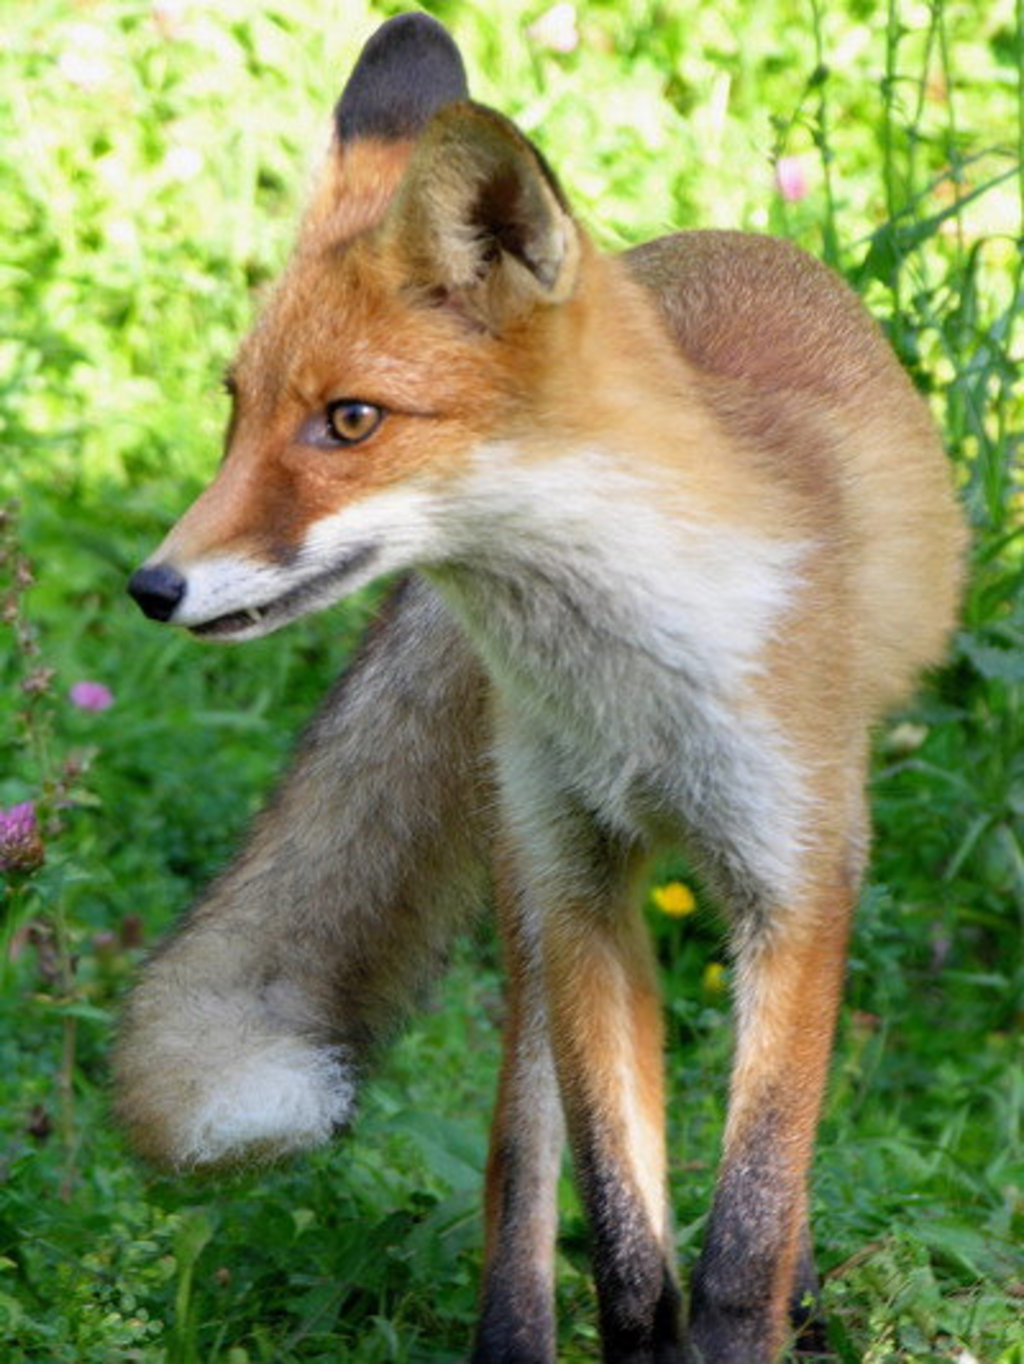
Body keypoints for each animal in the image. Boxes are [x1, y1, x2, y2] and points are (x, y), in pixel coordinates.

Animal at [117, 12, 966, 1364]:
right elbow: (622, 1236)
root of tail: (708, 242)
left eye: (349, 420)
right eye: (238, 411)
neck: (633, 685)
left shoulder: (795, 880)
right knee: (522, 1153)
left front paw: (751, 1322)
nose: (153, 585)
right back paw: (512, 1333)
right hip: (525, 873)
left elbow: (745, 1226)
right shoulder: (581, 890)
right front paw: (642, 1335)